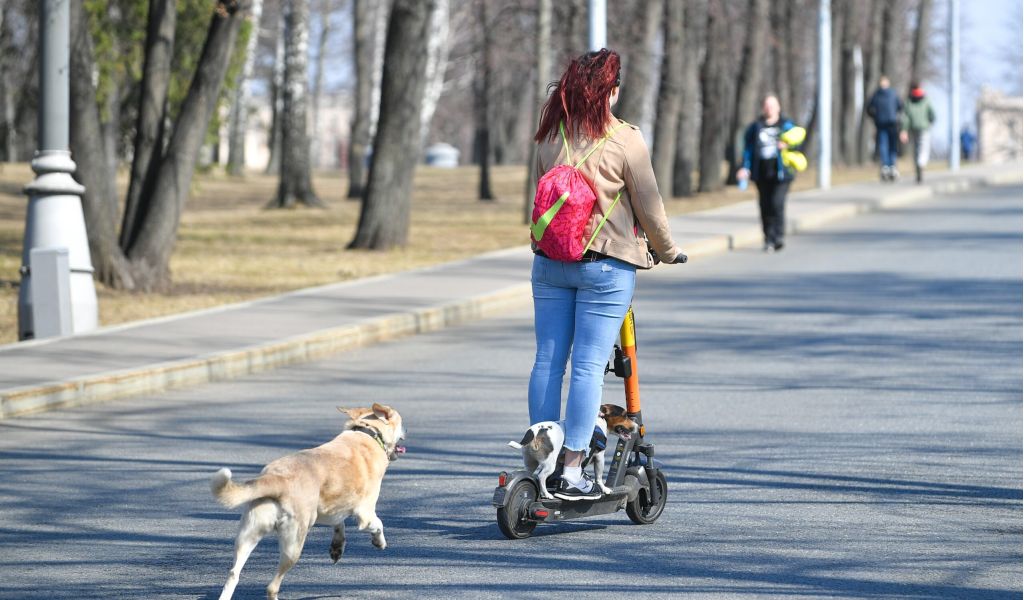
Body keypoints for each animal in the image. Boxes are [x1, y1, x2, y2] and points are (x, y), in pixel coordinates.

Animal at [209, 401, 405, 597]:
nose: (406, 431)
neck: (369, 432)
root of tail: (276, 479)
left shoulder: (329, 510)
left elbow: (339, 524)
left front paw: (337, 547)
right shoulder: (365, 513)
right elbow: (378, 524)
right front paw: (379, 542)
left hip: (248, 534)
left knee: (233, 573)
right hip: (294, 542)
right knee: (272, 586)